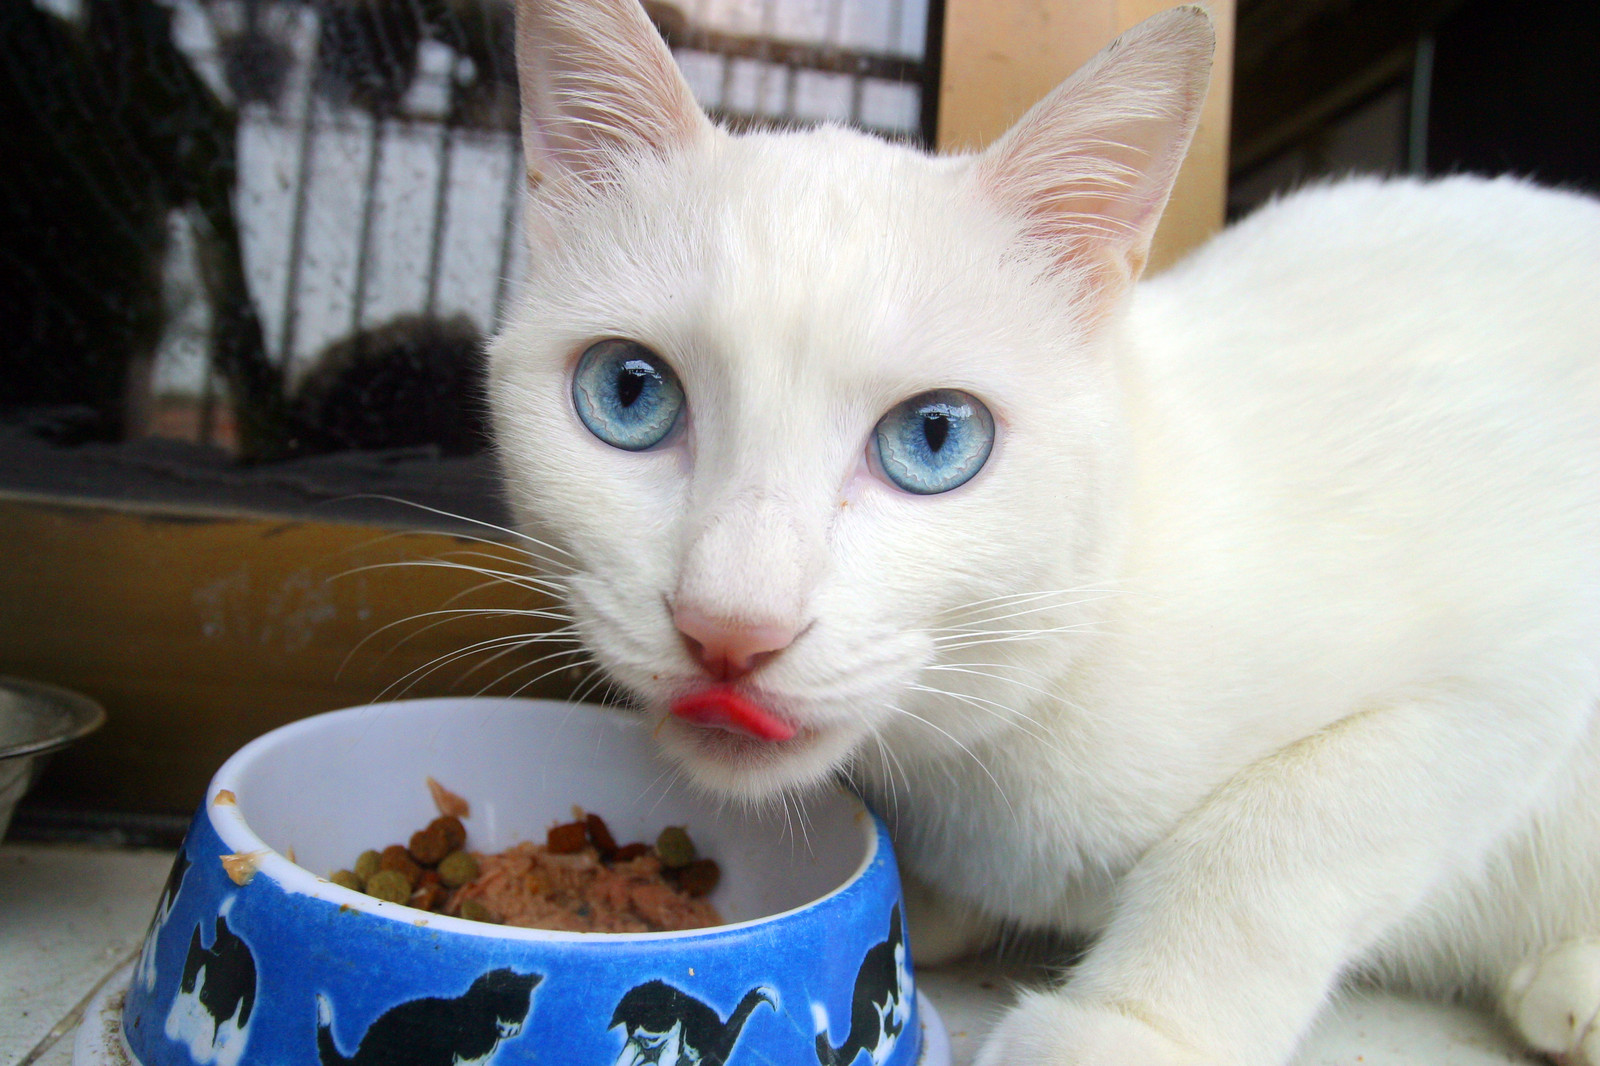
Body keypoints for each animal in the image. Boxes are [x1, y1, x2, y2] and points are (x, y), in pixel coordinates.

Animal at [486, 4, 1600, 1056]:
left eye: (935, 438)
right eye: (630, 394)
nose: (729, 625)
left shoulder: (1520, 664)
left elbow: (1280, 836)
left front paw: (1133, 1027)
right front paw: (932, 909)